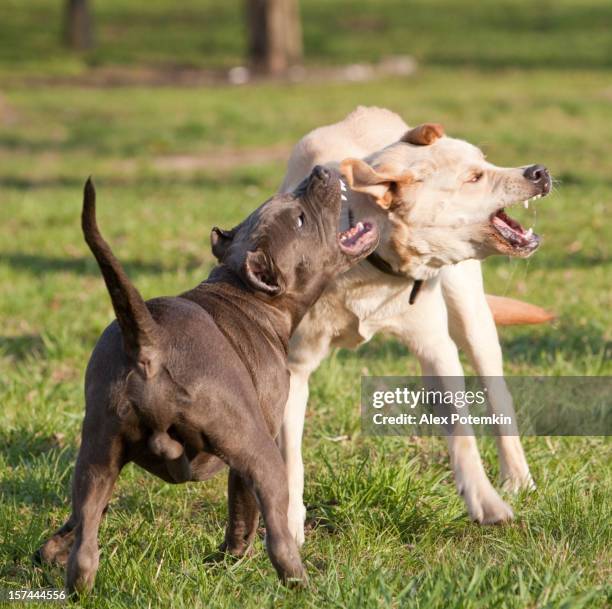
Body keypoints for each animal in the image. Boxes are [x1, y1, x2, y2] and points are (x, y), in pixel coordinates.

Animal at [35, 165, 378, 588]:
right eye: (299, 220)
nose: (318, 171)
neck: (246, 292)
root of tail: (150, 342)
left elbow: (87, 518)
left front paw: (51, 548)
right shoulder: (258, 440)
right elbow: (243, 509)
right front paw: (230, 559)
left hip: (97, 451)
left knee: (85, 542)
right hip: (257, 451)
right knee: (278, 537)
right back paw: (302, 582)